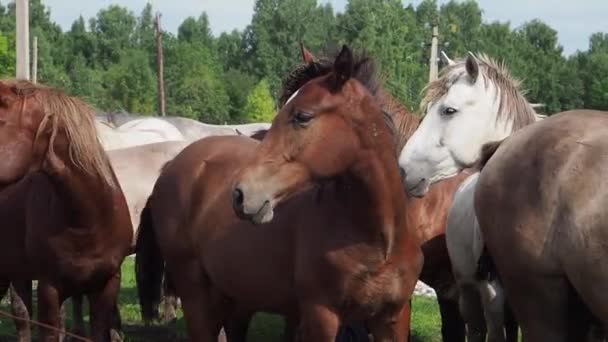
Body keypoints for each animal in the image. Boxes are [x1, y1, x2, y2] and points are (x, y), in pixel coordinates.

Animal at [137, 44, 422, 340]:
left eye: (302, 116)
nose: (240, 194)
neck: (376, 241)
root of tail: (170, 166)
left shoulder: (392, 318)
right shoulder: (321, 316)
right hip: (196, 296)